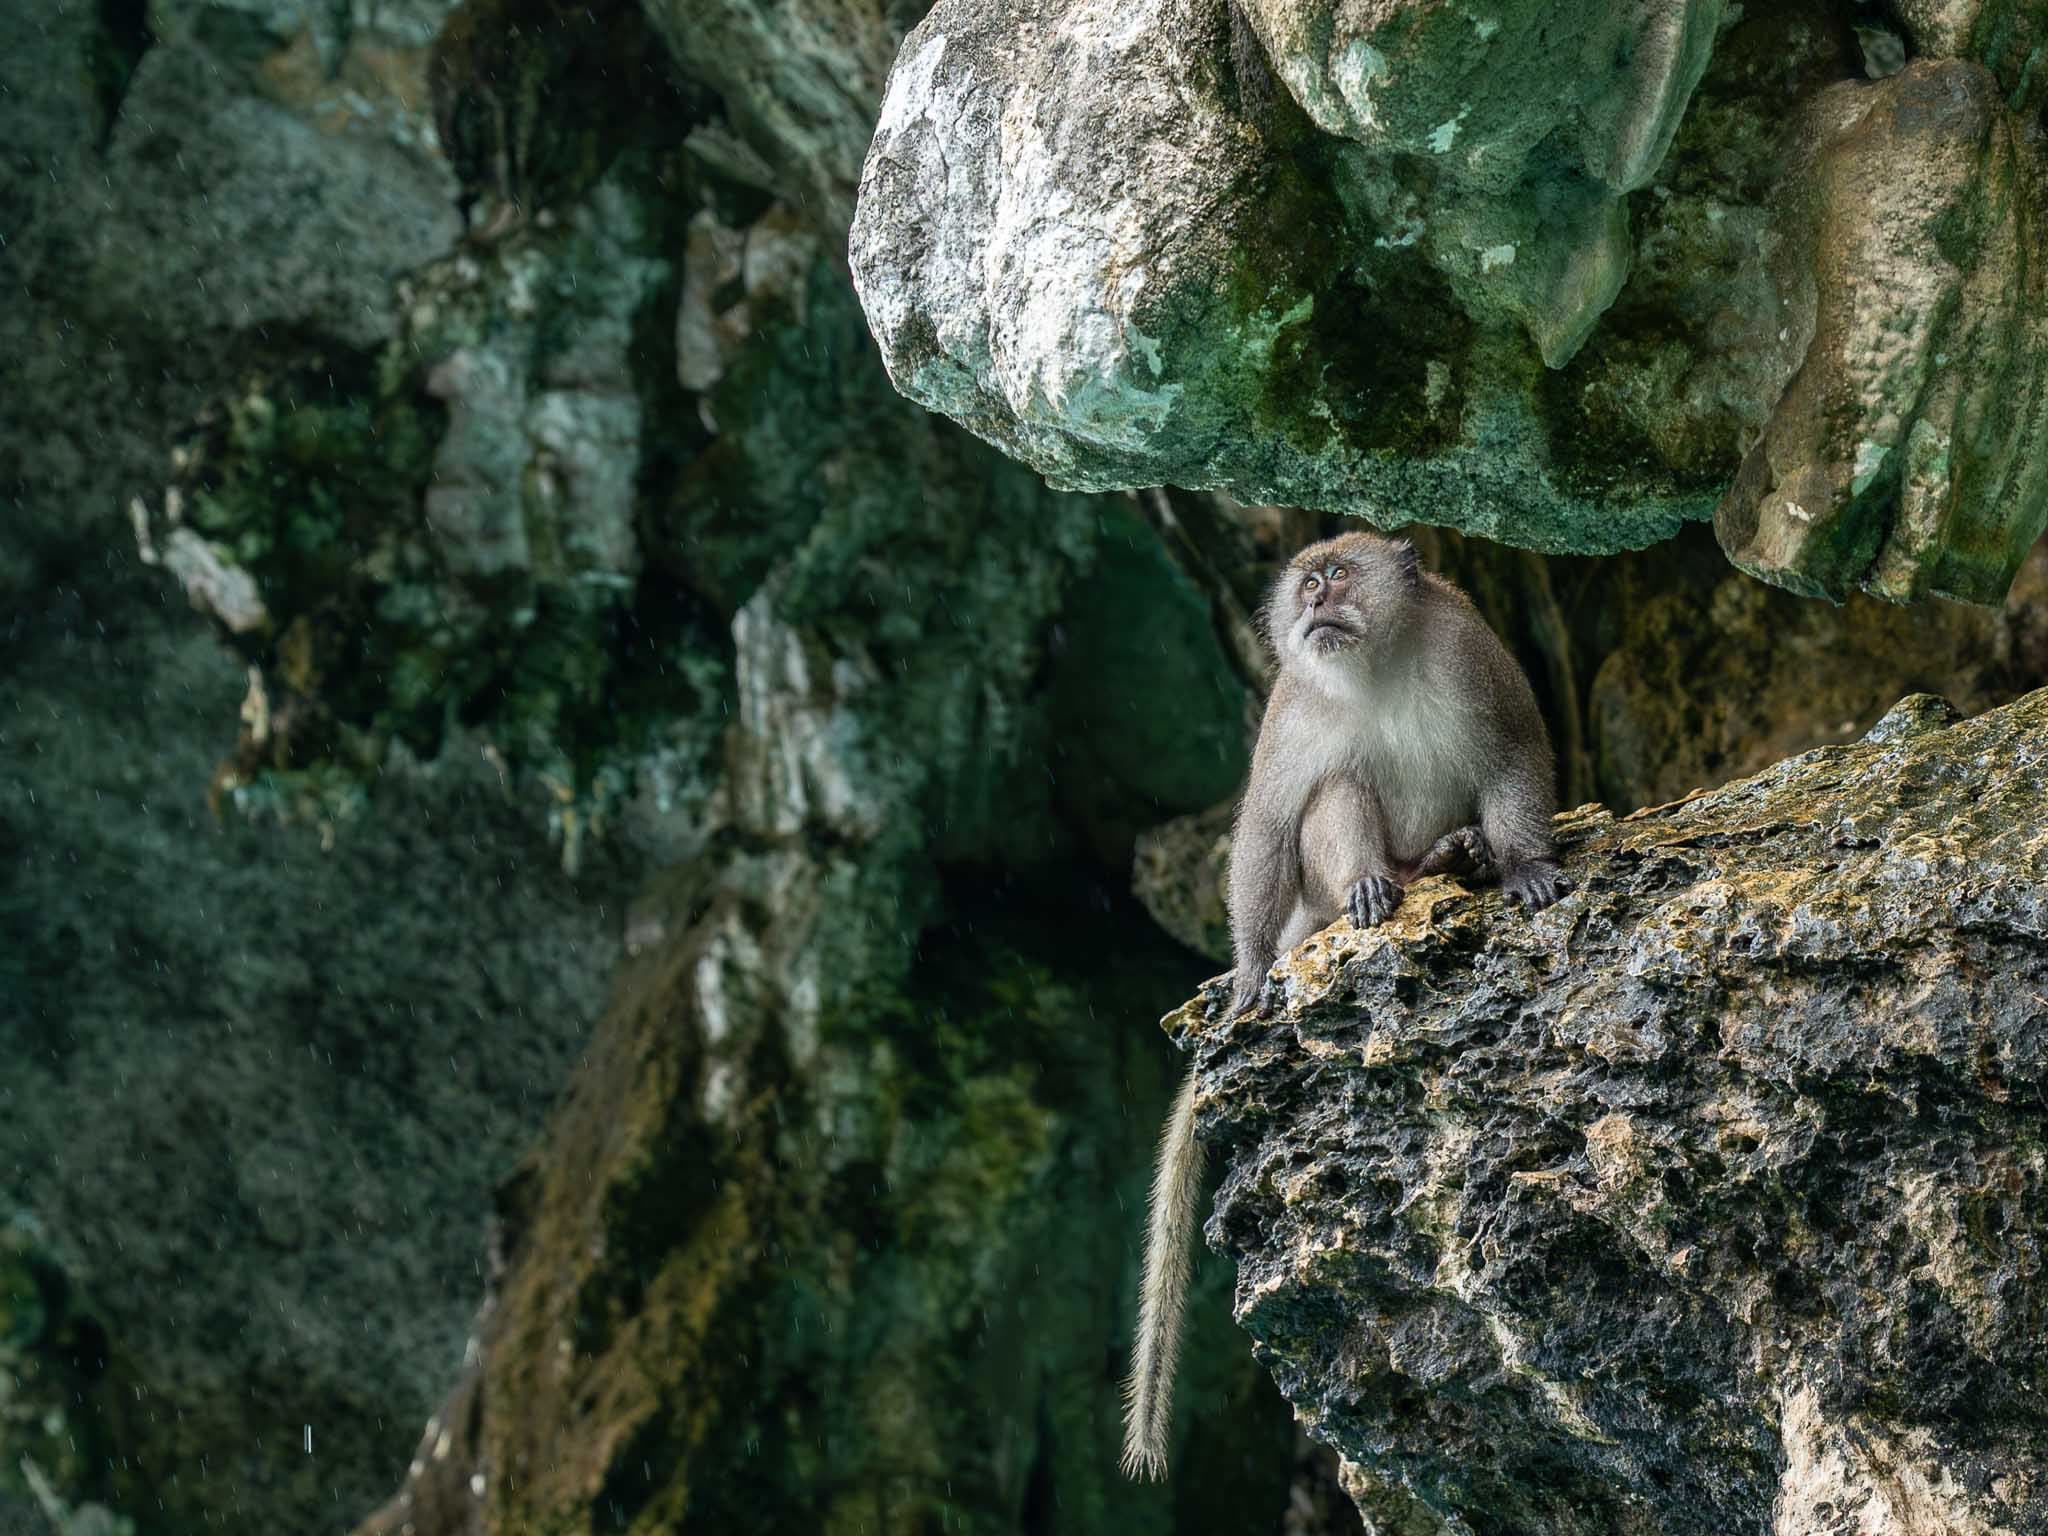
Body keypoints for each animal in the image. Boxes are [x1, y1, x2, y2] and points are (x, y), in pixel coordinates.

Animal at [1121, 530, 1571, 1480]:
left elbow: (1514, 752)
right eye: (1306, 582)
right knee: (1337, 793)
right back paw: (1382, 879)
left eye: (1338, 573)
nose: (1316, 600)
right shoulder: (1291, 709)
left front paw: (1522, 865)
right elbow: (1268, 824)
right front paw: (1250, 970)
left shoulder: (1468, 652)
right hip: (1322, 890)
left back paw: (1456, 855)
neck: (1372, 671)